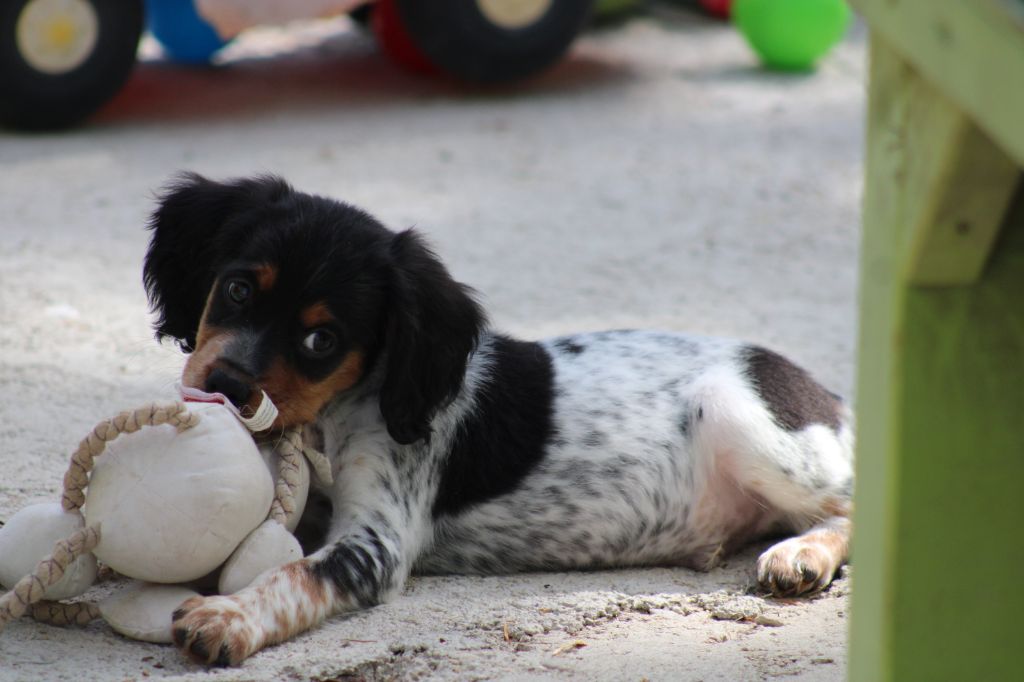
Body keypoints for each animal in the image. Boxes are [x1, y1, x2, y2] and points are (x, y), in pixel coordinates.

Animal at [140, 171, 851, 663]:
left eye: (323, 340)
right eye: (237, 289)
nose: (225, 387)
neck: (333, 418)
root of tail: (827, 396)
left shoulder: (376, 542)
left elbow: (291, 574)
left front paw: (227, 618)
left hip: (738, 416)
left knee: (849, 506)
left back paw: (801, 556)